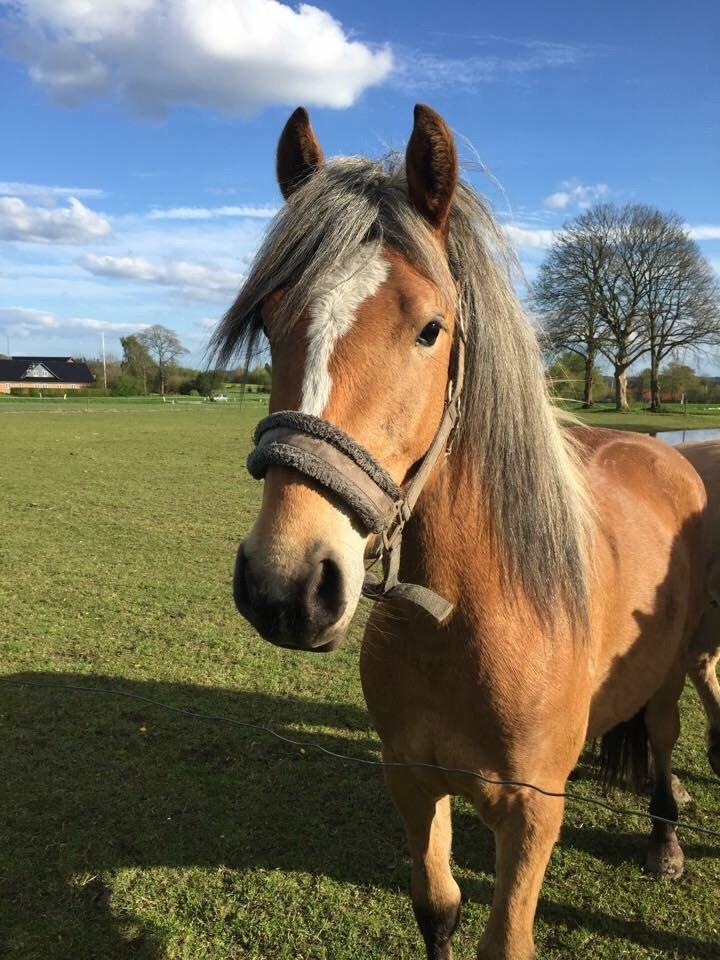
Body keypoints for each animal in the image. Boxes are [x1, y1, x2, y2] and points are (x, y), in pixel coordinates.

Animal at [212, 105, 708, 960]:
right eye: (272, 323)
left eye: (430, 329)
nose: (286, 586)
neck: (469, 618)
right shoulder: (411, 781)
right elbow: (437, 910)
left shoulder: (532, 813)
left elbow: (505, 940)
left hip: (678, 670)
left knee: (665, 740)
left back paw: (666, 843)